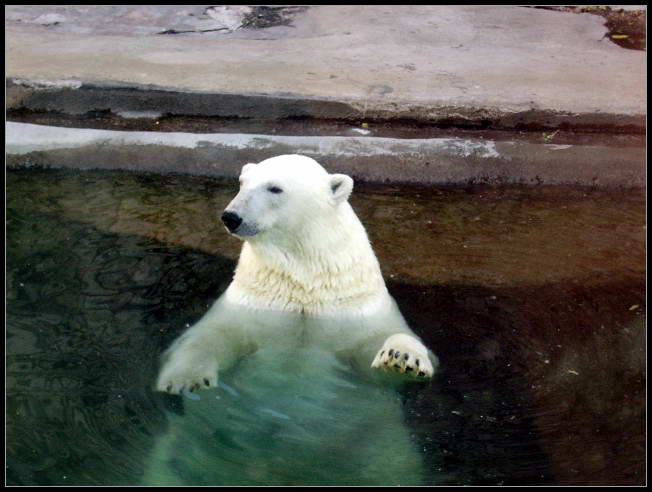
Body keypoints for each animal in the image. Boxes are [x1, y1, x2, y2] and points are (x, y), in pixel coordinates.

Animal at [144, 154, 438, 486]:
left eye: (275, 188)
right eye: (242, 182)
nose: (231, 217)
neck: (303, 284)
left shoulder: (354, 309)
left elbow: (377, 354)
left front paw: (402, 357)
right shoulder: (253, 302)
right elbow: (213, 334)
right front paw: (186, 380)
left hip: (380, 450)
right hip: (184, 449)